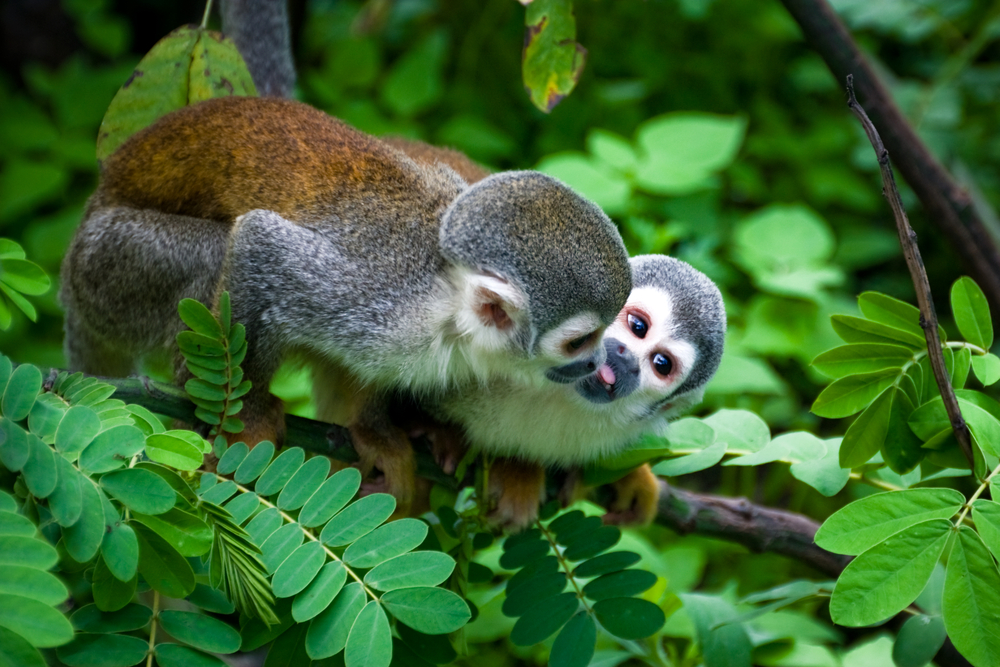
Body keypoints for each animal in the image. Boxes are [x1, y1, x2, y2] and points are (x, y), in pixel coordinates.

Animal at [62, 95, 628, 512]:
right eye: (580, 340)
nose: (600, 364)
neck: (444, 300)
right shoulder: (380, 301)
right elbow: (260, 242)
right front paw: (247, 417)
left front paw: (376, 431)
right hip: (112, 265)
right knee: (214, 252)